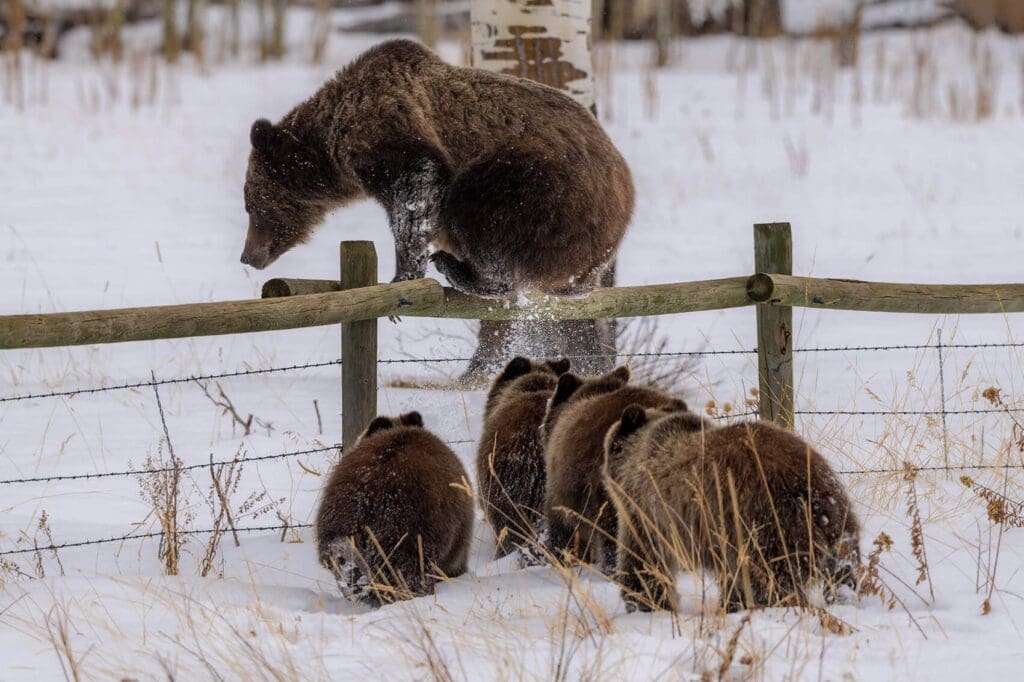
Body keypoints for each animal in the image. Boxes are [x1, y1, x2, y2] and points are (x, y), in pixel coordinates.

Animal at [243, 38, 634, 296]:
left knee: (481, 207)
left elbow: (416, 187)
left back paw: (460, 268)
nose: (247, 256)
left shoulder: (389, 125)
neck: (332, 143)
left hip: (543, 187)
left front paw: (404, 273)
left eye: (250, 204)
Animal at [602, 405, 860, 614]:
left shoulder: (648, 512)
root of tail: (806, 488)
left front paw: (644, 601)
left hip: (759, 519)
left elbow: (642, 560)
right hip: (837, 517)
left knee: (767, 577)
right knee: (843, 568)